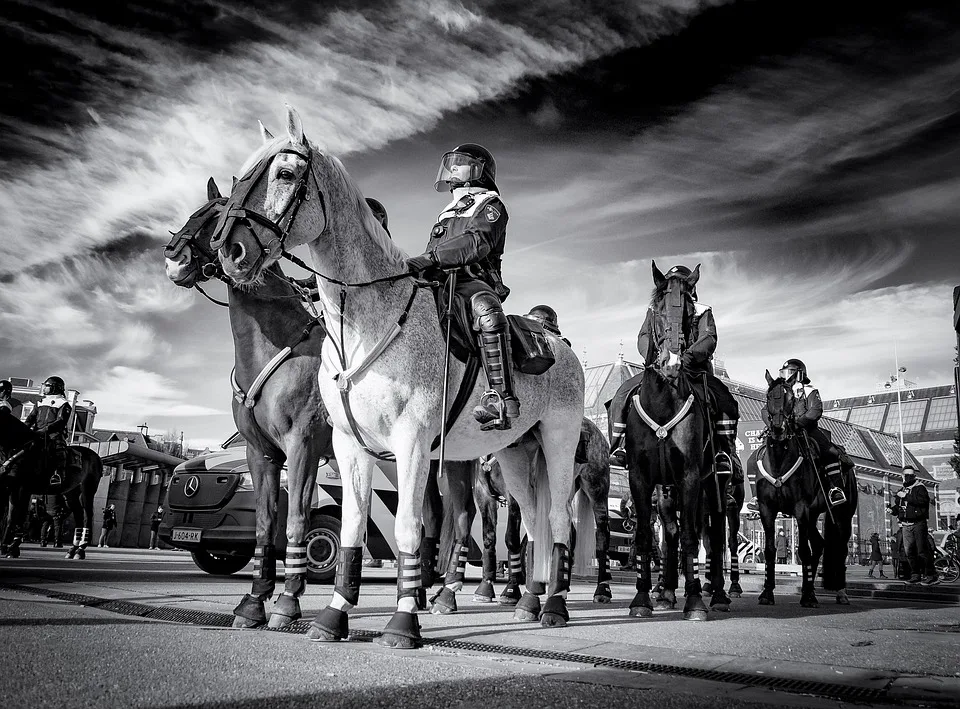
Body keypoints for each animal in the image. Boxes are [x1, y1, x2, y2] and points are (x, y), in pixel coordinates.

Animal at [0, 410, 102, 560]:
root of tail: (96, 457)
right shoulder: (14, 489)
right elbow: (12, 517)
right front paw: (7, 547)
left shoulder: (22, 489)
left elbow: (17, 517)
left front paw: (11, 548)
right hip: (70, 494)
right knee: (78, 515)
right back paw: (72, 549)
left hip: (87, 492)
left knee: (87, 517)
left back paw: (80, 549)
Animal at [212, 105, 584, 648]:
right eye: (238, 178)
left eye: (284, 174)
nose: (230, 251)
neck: (366, 318)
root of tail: (559, 345)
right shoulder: (348, 443)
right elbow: (350, 527)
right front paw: (334, 615)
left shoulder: (410, 442)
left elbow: (409, 527)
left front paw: (404, 620)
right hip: (516, 454)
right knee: (534, 522)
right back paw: (530, 602)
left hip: (557, 439)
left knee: (557, 519)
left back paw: (555, 605)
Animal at [624, 260, 720, 620]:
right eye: (659, 309)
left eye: (691, 311)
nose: (672, 362)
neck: (664, 400)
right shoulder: (640, 478)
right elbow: (643, 537)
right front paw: (642, 598)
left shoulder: (691, 476)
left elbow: (692, 538)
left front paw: (694, 602)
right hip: (665, 488)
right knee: (670, 531)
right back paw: (664, 590)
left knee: (709, 535)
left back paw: (716, 594)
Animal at [748, 374, 860, 604]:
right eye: (768, 396)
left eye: (791, 398)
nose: (778, 429)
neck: (780, 460)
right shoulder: (767, 509)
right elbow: (770, 550)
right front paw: (767, 592)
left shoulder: (801, 508)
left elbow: (803, 551)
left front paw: (807, 597)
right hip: (814, 515)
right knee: (819, 545)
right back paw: (812, 588)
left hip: (841, 516)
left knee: (840, 549)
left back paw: (840, 592)